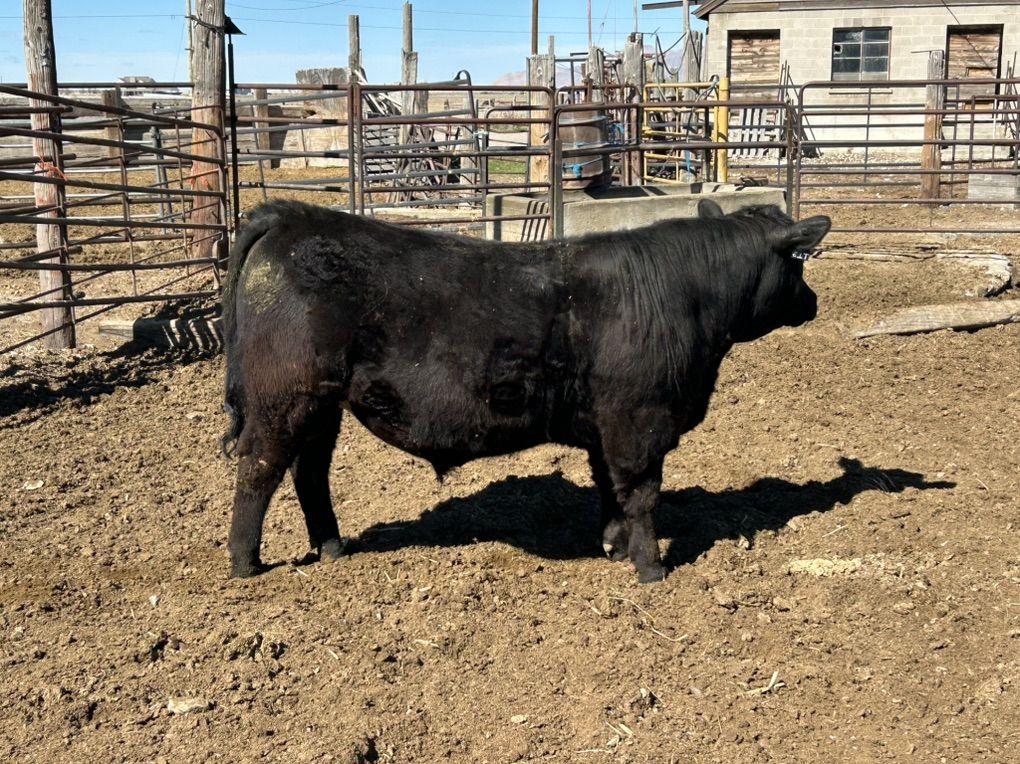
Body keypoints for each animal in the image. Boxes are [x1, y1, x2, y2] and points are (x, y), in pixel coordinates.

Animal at [222, 199, 829, 583]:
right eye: (799, 262)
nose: (814, 302)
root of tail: (290, 214)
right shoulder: (638, 421)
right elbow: (641, 493)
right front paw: (651, 569)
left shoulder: (604, 428)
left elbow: (609, 490)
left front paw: (612, 547)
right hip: (283, 398)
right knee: (259, 469)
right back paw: (245, 565)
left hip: (322, 404)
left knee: (309, 472)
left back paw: (332, 548)